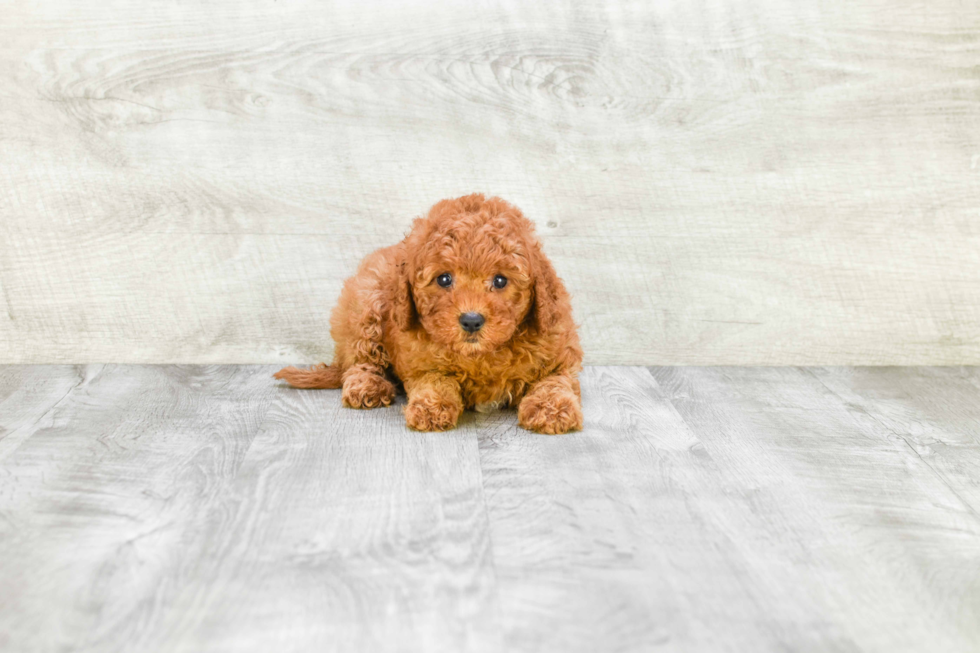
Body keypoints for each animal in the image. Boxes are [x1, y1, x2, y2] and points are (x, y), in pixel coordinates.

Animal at [274, 194, 580, 432]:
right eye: (444, 279)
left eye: (501, 280)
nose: (471, 321)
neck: (480, 356)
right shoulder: (419, 361)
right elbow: (434, 379)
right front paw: (431, 407)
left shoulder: (559, 353)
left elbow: (555, 380)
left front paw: (552, 410)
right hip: (365, 303)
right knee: (359, 359)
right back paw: (367, 386)